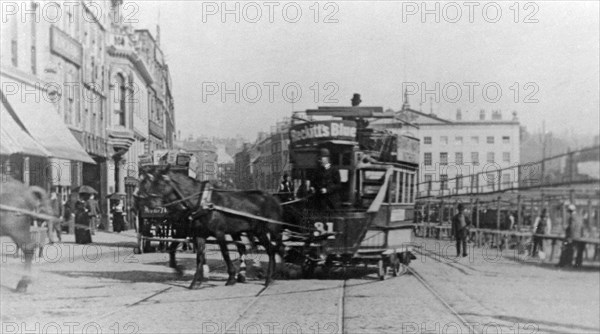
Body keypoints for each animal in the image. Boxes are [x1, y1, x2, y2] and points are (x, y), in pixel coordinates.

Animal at [138, 166, 284, 288]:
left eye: (160, 183)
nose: (149, 203)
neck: (202, 203)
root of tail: (272, 198)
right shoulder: (198, 235)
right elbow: (199, 256)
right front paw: (195, 281)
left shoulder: (219, 232)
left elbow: (225, 254)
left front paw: (231, 277)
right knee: (265, 248)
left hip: (265, 230)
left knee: (272, 249)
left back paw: (269, 278)